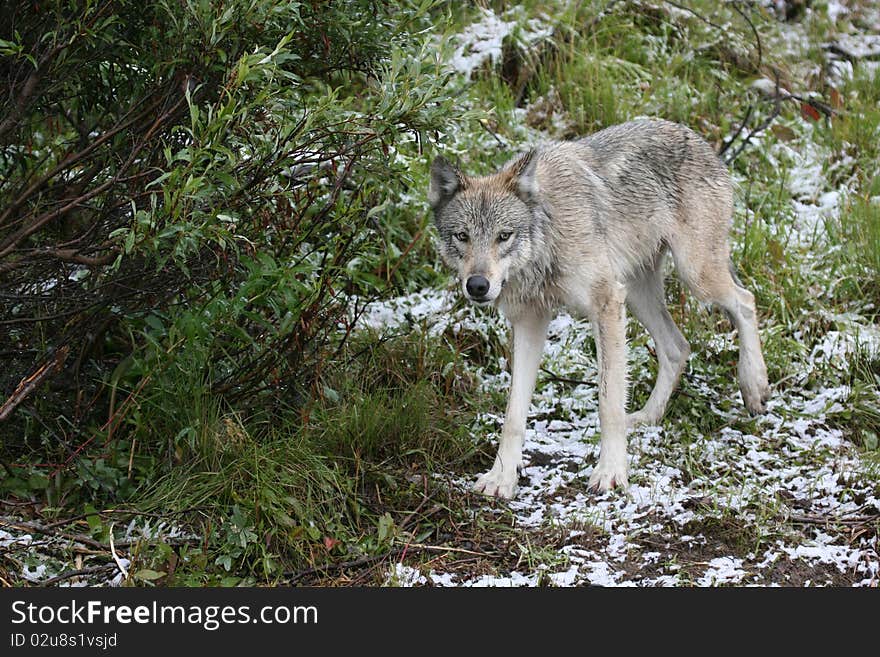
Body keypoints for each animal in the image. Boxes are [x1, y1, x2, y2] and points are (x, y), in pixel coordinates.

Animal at [430, 118, 768, 498]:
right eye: (462, 236)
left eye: (504, 236)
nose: (477, 285)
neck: (548, 239)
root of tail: (697, 138)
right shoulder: (530, 321)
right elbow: (513, 414)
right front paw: (501, 478)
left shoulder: (605, 303)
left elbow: (608, 401)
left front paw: (611, 472)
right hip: (637, 292)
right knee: (678, 347)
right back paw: (648, 417)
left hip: (694, 276)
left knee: (746, 301)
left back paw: (754, 386)